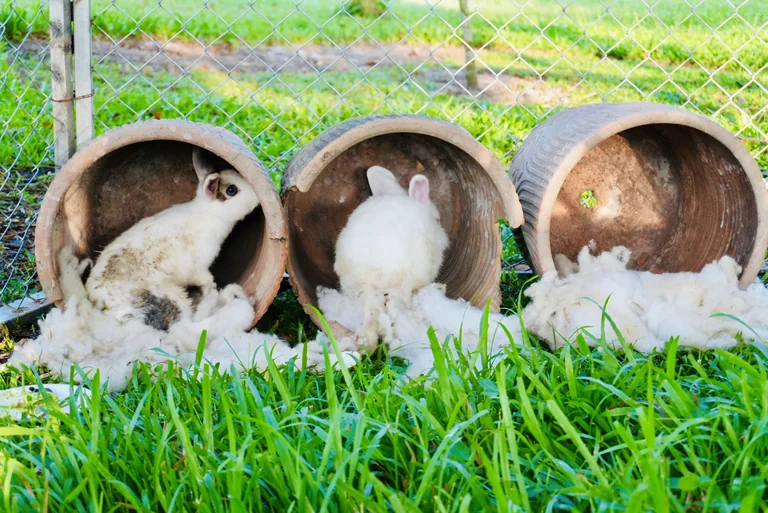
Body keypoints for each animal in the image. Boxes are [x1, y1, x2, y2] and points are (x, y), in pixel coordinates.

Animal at [85, 148, 259, 331]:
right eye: (232, 190)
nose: (257, 199)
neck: (209, 214)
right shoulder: (199, 267)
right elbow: (205, 278)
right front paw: (211, 286)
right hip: (170, 298)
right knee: (186, 326)